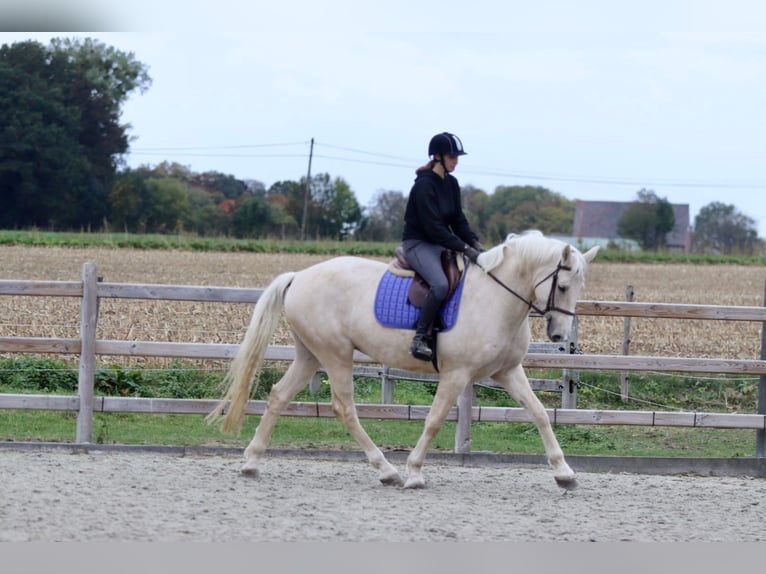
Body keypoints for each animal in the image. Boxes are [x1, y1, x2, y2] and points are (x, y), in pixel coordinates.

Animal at [207, 230, 599, 489]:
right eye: (563, 286)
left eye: (580, 287)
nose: (559, 335)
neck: (496, 298)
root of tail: (299, 276)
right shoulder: (457, 374)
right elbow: (435, 420)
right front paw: (414, 472)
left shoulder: (508, 371)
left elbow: (539, 414)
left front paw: (564, 473)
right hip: (335, 353)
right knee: (344, 408)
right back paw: (387, 470)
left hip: (310, 354)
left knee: (279, 396)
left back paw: (252, 462)